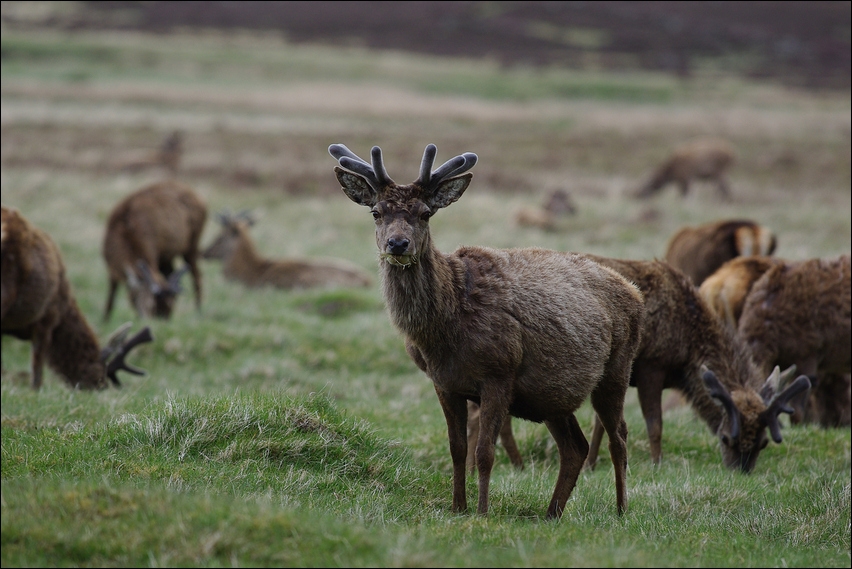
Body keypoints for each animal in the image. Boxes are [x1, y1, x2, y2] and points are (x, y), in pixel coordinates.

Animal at [102, 180, 207, 320]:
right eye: (141, 301)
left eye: (151, 304)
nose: (163, 319)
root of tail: (200, 199)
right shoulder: (110, 268)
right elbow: (111, 295)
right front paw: (105, 319)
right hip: (168, 256)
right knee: (171, 272)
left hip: (192, 244)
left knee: (197, 276)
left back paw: (198, 311)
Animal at [330, 143, 644, 520]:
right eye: (376, 212)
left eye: (425, 213)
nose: (398, 243)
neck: (443, 332)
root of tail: (635, 293)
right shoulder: (444, 383)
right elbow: (457, 448)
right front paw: (457, 506)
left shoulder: (499, 372)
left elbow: (484, 452)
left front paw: (481, 511)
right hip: (552, 394)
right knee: (575, 447)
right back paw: (552, 512)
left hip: (617, 368)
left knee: (619, 436)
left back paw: (622, 509)